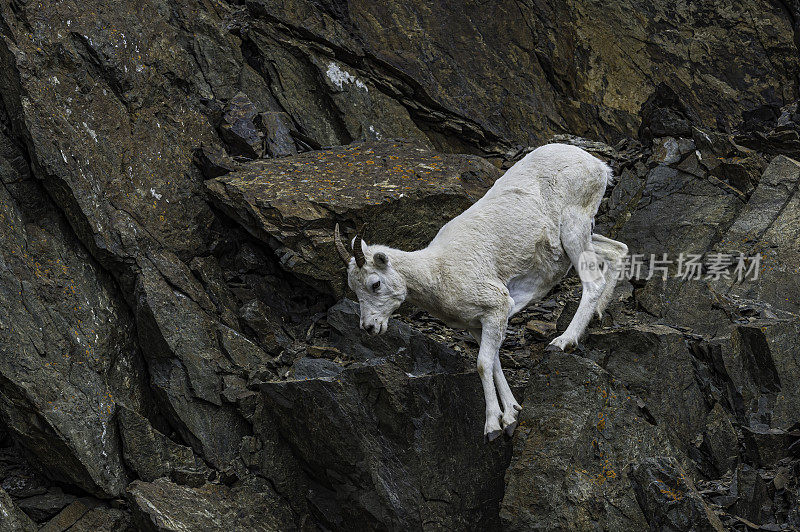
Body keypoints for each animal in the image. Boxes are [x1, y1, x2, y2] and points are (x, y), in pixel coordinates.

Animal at [334, 142, 628, 440]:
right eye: (354, 289)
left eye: (375, 284)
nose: (369, 327)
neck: (438, 270)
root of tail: (599, 167)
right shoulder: (478, 324)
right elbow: (494, 362)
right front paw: (510, 416)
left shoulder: (497, 307)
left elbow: (482, 364)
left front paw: (493, 427)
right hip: (583, 236)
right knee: (617, 250)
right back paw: (599, 314)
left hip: (573, 230)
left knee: (593, 282)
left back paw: (562, 342)